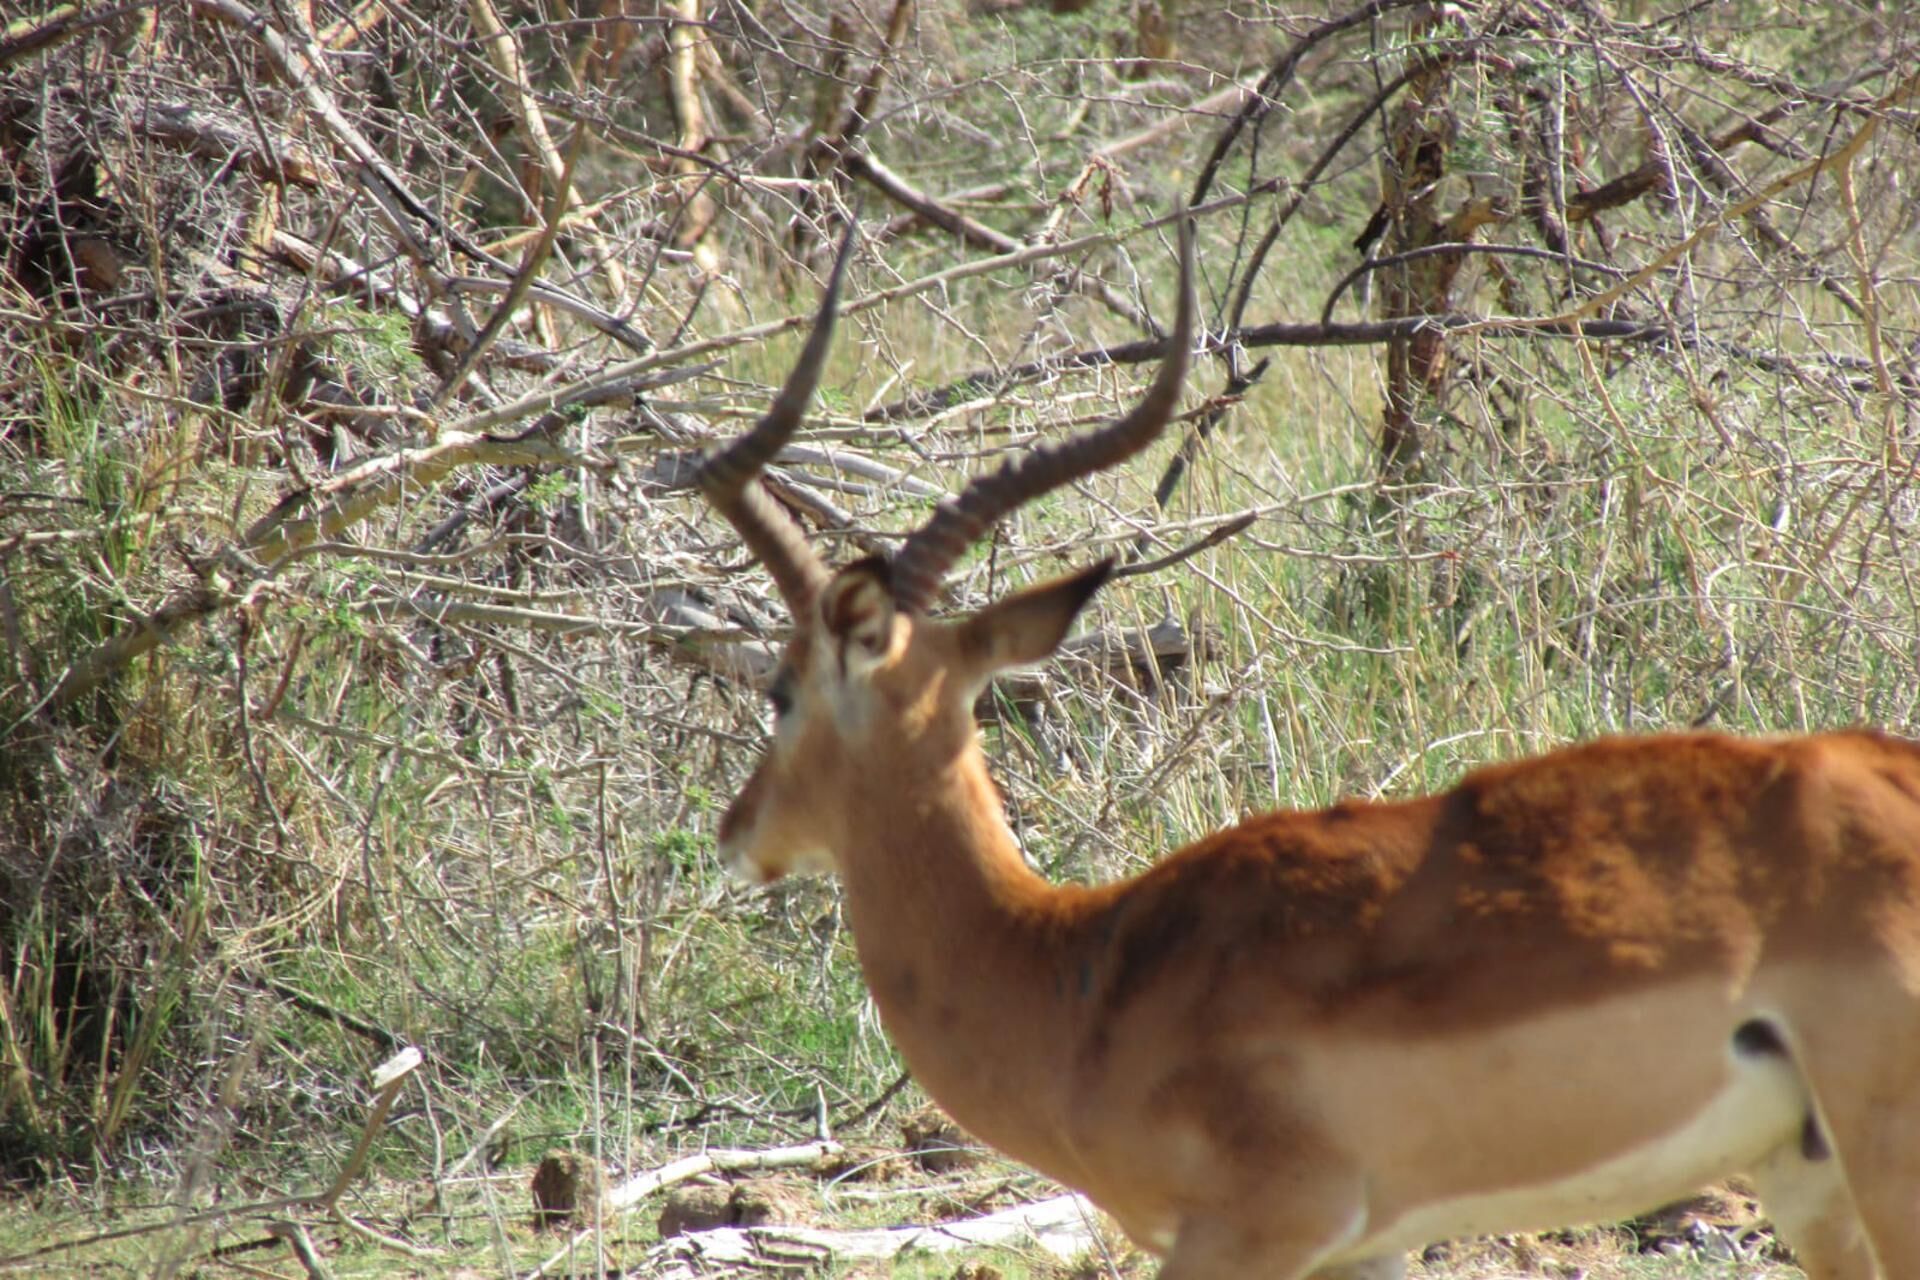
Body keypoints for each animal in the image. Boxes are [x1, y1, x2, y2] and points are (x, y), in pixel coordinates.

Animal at [693, 217, 1920, 1280]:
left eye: (781, 687)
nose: (735, 830)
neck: (1075, 976)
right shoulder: (1359, 1247)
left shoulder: (1251, 1231)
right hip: (1806, 1177)